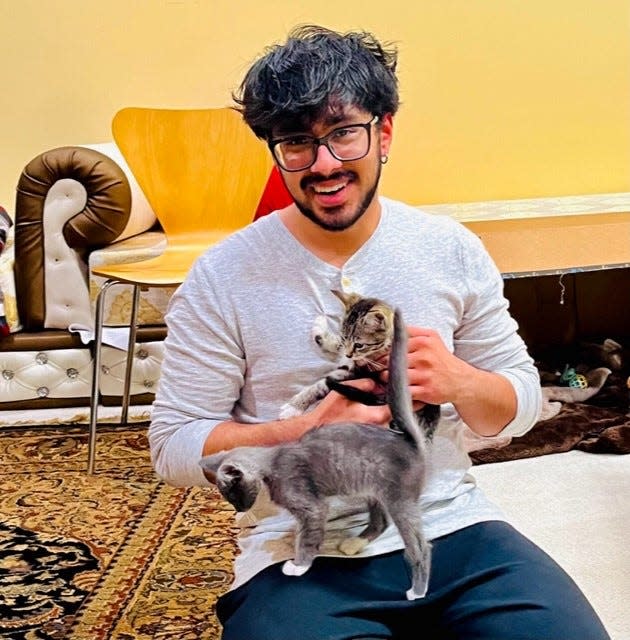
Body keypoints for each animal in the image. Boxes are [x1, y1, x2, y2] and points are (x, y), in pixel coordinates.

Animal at [201, 308, 434, 600]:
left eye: (233, 493)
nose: (240, 508)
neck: (271, 461)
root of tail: (410, 440)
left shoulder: (312, 507)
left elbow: (309, 536)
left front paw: (299, 565)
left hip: (399, 499)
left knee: (420, 547)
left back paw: (417, 590)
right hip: (372, 490)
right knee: (381, 522)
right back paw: (353, 544)